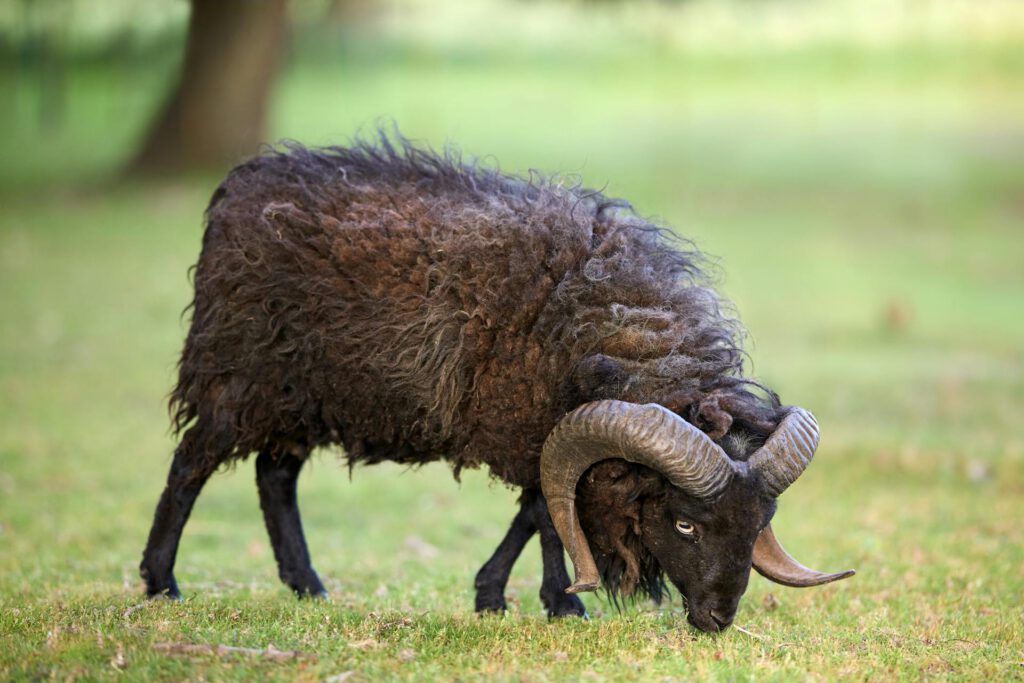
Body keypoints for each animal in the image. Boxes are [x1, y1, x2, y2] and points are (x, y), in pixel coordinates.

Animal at [140, 133, 853, 633]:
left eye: (762, 519)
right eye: (683, 524)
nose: (716, 620)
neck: (626, 335)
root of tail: (245, 183)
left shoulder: (545, 430)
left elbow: (537, 509)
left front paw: (495, 595)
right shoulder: (532, 423)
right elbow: (549, 514)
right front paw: (561, 604)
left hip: (300, 393)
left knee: (274, 475)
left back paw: (308, 587)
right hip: (239, 375)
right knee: (191, 464)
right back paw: (161, 583)